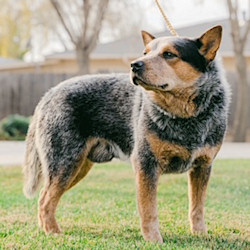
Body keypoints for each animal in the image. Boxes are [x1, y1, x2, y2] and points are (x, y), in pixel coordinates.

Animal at [23, 26, 230, 243]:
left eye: (169, 54)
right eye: (145, 52)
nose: (134, 64)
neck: (184, 115)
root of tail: (48, 95)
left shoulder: (203, 166)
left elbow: (197, 207)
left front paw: (201, 234)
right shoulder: (146, 163)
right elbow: (149, 209)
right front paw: (153, 240)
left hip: (78, 167)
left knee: (45, 197)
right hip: (65, 163)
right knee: (46, 200)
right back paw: (53, 233)